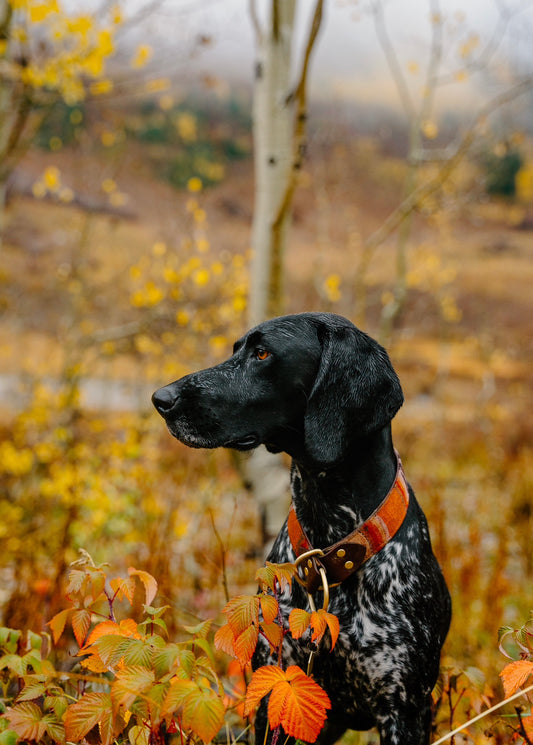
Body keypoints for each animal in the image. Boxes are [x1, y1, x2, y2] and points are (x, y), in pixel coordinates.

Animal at [153, 310, 448, 740]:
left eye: (262, 353)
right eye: (237, 349)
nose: (161, 399)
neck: (333, 547)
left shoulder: (404, 709)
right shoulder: (275, 690)